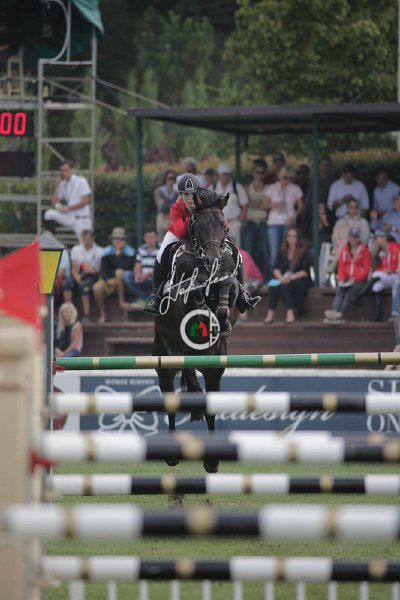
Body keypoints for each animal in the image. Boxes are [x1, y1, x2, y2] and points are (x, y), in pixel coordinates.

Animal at [153, 188, 239, 473]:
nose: (212, 260)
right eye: (198, 225)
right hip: (165, 362)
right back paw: (171, 455)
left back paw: (212, 461)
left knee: (210, 406)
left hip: (214, 369)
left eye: (224, 226)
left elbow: (227, 289)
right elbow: (195, 293)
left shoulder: (229, 285)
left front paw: (221, 320)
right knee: (169, 400)